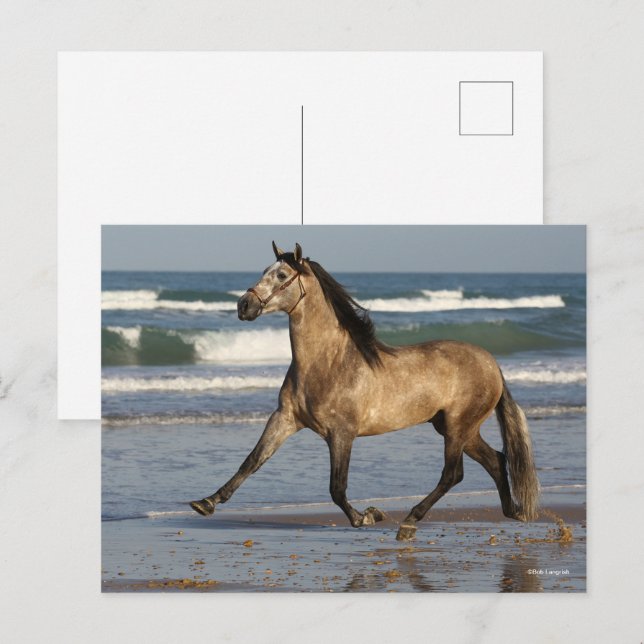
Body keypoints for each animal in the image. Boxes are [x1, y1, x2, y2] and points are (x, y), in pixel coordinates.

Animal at [190, 242, 540, 541]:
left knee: (453, 474)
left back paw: (409, 522)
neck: (327, 364)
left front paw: (367, 516)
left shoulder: (342, 433)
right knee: (495, 460)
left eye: (281, 275)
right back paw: (513, 511)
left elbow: (337, 488)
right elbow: (252, 460)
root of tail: (491, 363)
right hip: (455, 428)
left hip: (457, 427)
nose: (244, 305)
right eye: (265, 270)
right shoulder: (285, 418)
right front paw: (206, 502)